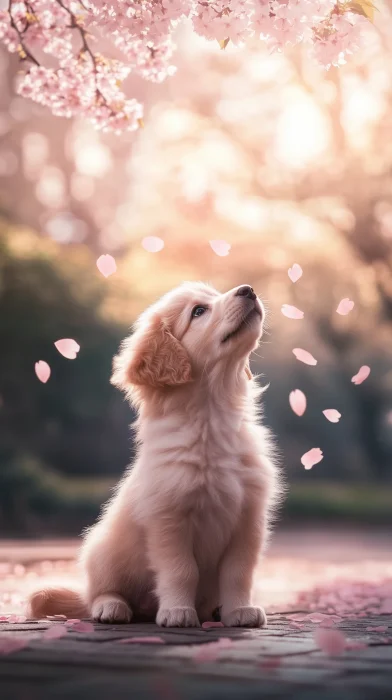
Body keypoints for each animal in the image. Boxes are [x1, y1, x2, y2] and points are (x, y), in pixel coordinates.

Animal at [29, 284, 282, 628]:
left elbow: (238, 572)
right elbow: (182, 570)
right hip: (101, 550)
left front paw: (239, 611)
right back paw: (111, 607)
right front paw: (178, 611)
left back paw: (213, 611)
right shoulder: (168, 520)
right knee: (98, 594)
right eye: (198, 312)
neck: (211, 418)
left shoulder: (248, 518)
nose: (248, 290)